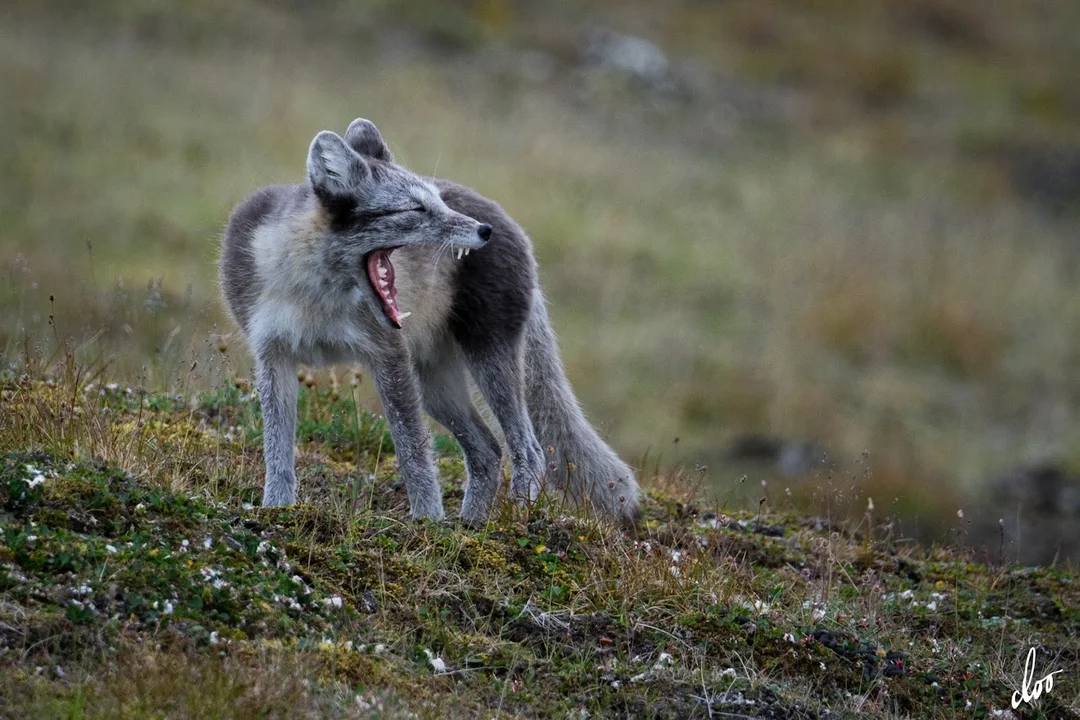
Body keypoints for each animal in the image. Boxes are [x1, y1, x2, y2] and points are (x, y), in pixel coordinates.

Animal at [220, 118, 639, 524]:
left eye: (436, 200)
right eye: (415, 209)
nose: (483, 230)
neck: (316, 295)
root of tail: (508, 221)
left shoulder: (388, 354)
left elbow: (413, 452)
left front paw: (426, 522)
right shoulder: (273, 354)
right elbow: (277, 448)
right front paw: (277, 508)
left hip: (487, 357)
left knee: (529, 449)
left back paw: (509, 520)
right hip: (436, 383)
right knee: (488, 449)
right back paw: (470, 525)